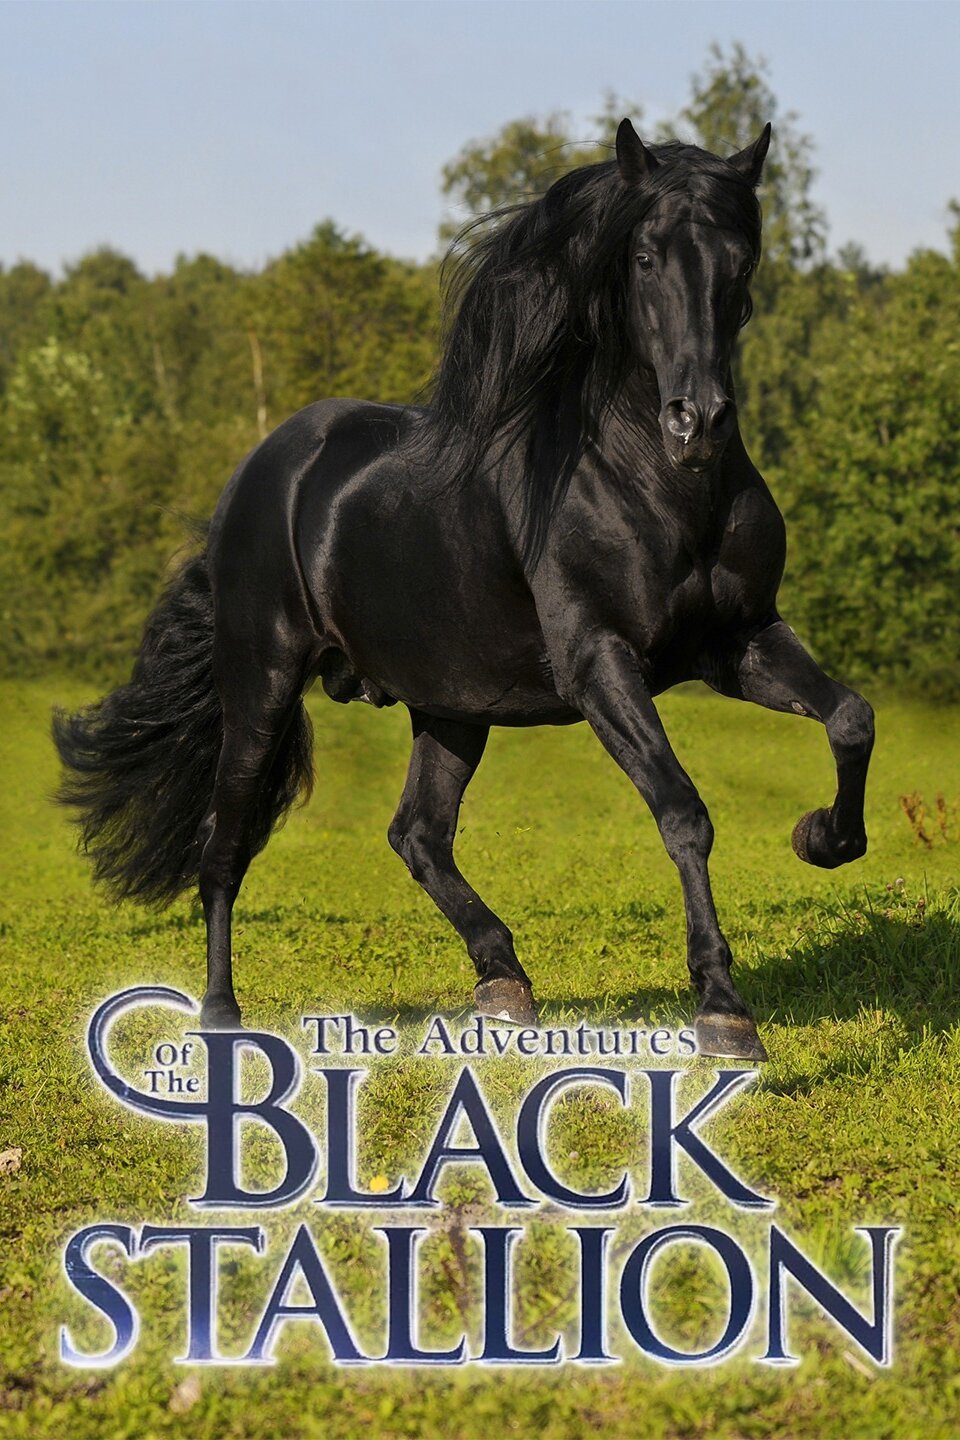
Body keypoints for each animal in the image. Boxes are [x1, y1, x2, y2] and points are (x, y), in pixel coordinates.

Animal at [53, 120, 874, 1061]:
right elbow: (682, 811)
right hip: (261, 682)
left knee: (417, 834)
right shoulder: (600, 663)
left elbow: (851, 718)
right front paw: (724, 1010)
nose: (696, 422)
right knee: (225, 842)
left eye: (741, 258)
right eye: (643, 258)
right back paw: (224, 1019)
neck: (655, 483)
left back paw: (504, 983)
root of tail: (260, 473)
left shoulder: (739, 641)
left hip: (451, 704)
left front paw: (823, 837)